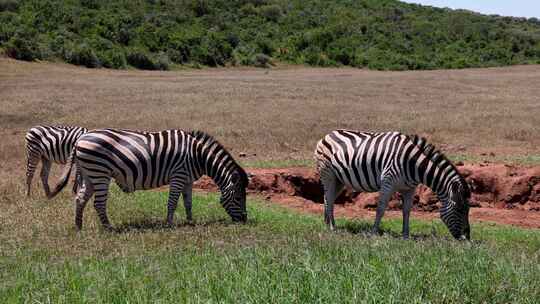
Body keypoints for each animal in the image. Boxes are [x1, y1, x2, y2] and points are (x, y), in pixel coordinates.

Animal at [50, 128, 249, 230]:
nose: (244, 220)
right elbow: (172, 202)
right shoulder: (178, 175)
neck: (198, 155)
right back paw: (109, 228)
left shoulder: (187, 179)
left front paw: (190, 221)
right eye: (239, 197)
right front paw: (169, 224)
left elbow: (188, 202)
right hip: (100, 173)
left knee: (80, 198)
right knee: (98, 203)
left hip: (90, 174)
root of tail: (79, 139)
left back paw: (79, 226)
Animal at [314, 130, 470, 240]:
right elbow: (381, 208)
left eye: (467, 210)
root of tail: (328, 135)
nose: (467, 237)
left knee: (328, 198)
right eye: (460, 210)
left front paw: (406, 235)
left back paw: (328, 223)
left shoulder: (410, 188)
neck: (414, 164)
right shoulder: (387, 181)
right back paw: (332, 228)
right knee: (329, 198)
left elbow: (407, 210)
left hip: (339, 180)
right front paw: (374, 232)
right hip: (328, 174)